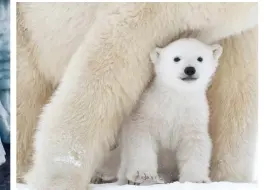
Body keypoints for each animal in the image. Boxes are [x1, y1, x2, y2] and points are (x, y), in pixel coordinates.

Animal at [17, 2, 258, 189]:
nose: (190, 70)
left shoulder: (237, 32)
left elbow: (236, 87)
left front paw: (227, 178)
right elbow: (108, 67)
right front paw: (59, 180)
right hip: (26, 31)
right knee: (27, 98)